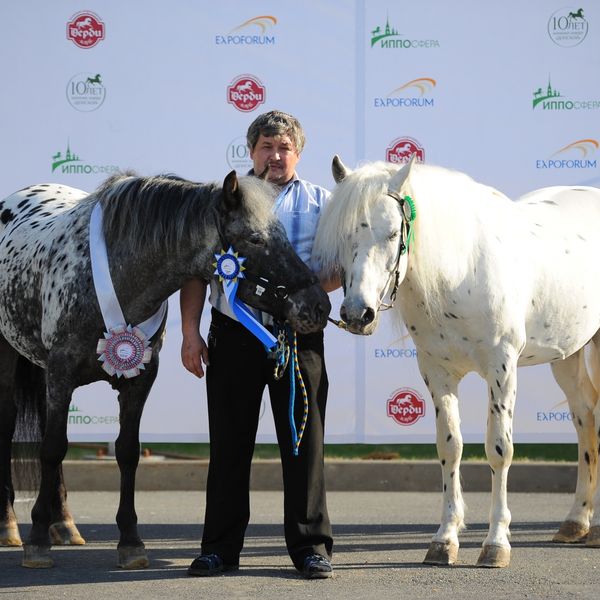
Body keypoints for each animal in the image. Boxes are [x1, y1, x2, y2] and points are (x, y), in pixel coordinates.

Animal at [0, 171, 330, 568]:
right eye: (255, 238)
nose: (319, 305)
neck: (112, 275)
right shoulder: (60, 374)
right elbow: (52, 449)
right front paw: (36, 541)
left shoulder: (139, 379)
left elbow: (127, 452)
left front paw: (130, 543)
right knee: (9, 428)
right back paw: (10, 526)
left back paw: (63, 524)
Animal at [312, 155, 600, 568]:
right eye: (343, 237)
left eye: (392, 234)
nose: (357, 314)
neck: (463, 271)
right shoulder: (437, 372)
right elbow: (450, 447)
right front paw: (445, 539)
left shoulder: (502, 367)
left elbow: (499, 449)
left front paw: (496, 543)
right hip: (568, 355)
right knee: (585, 420)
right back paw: (576, 521)